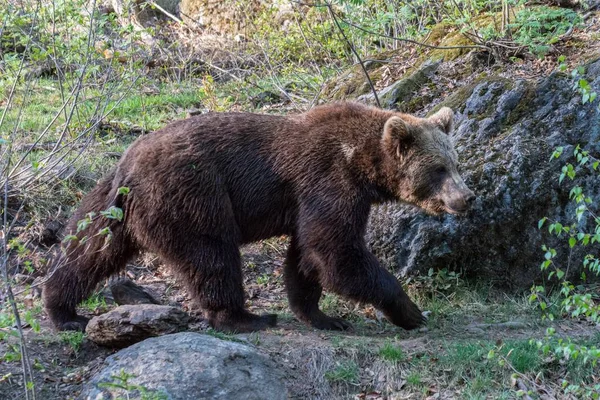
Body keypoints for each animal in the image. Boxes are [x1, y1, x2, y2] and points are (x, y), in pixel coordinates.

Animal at [41, 101, 474, 332]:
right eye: (438, 169)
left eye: (455, 163)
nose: (467, 198)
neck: (363, 164)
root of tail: (129, 165)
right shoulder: (328, 179)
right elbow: (335, 251)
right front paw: (410, 310)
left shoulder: (309, 199)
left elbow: (306, 256)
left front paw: (322, 315)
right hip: (193, 193)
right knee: (211, 255)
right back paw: (244, 316)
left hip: (112, 202)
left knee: (90, 249)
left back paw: (63, 310)